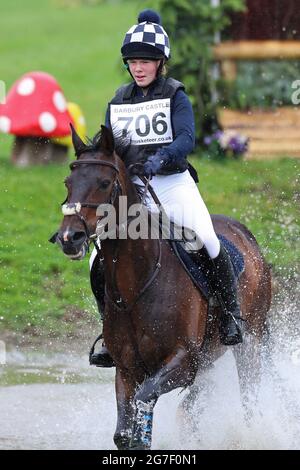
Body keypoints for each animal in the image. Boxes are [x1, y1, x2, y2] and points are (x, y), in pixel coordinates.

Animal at [51, 126, 272, 452]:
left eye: (104, 183)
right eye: (68, 182)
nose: (70, 237)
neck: (136, 286)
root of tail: (244, 232)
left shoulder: (182, 362)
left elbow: (144, 403)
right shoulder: (127, 370)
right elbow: (125, 434)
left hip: (250, 341)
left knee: (250, 393)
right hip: (208, 359)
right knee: (190, 409)